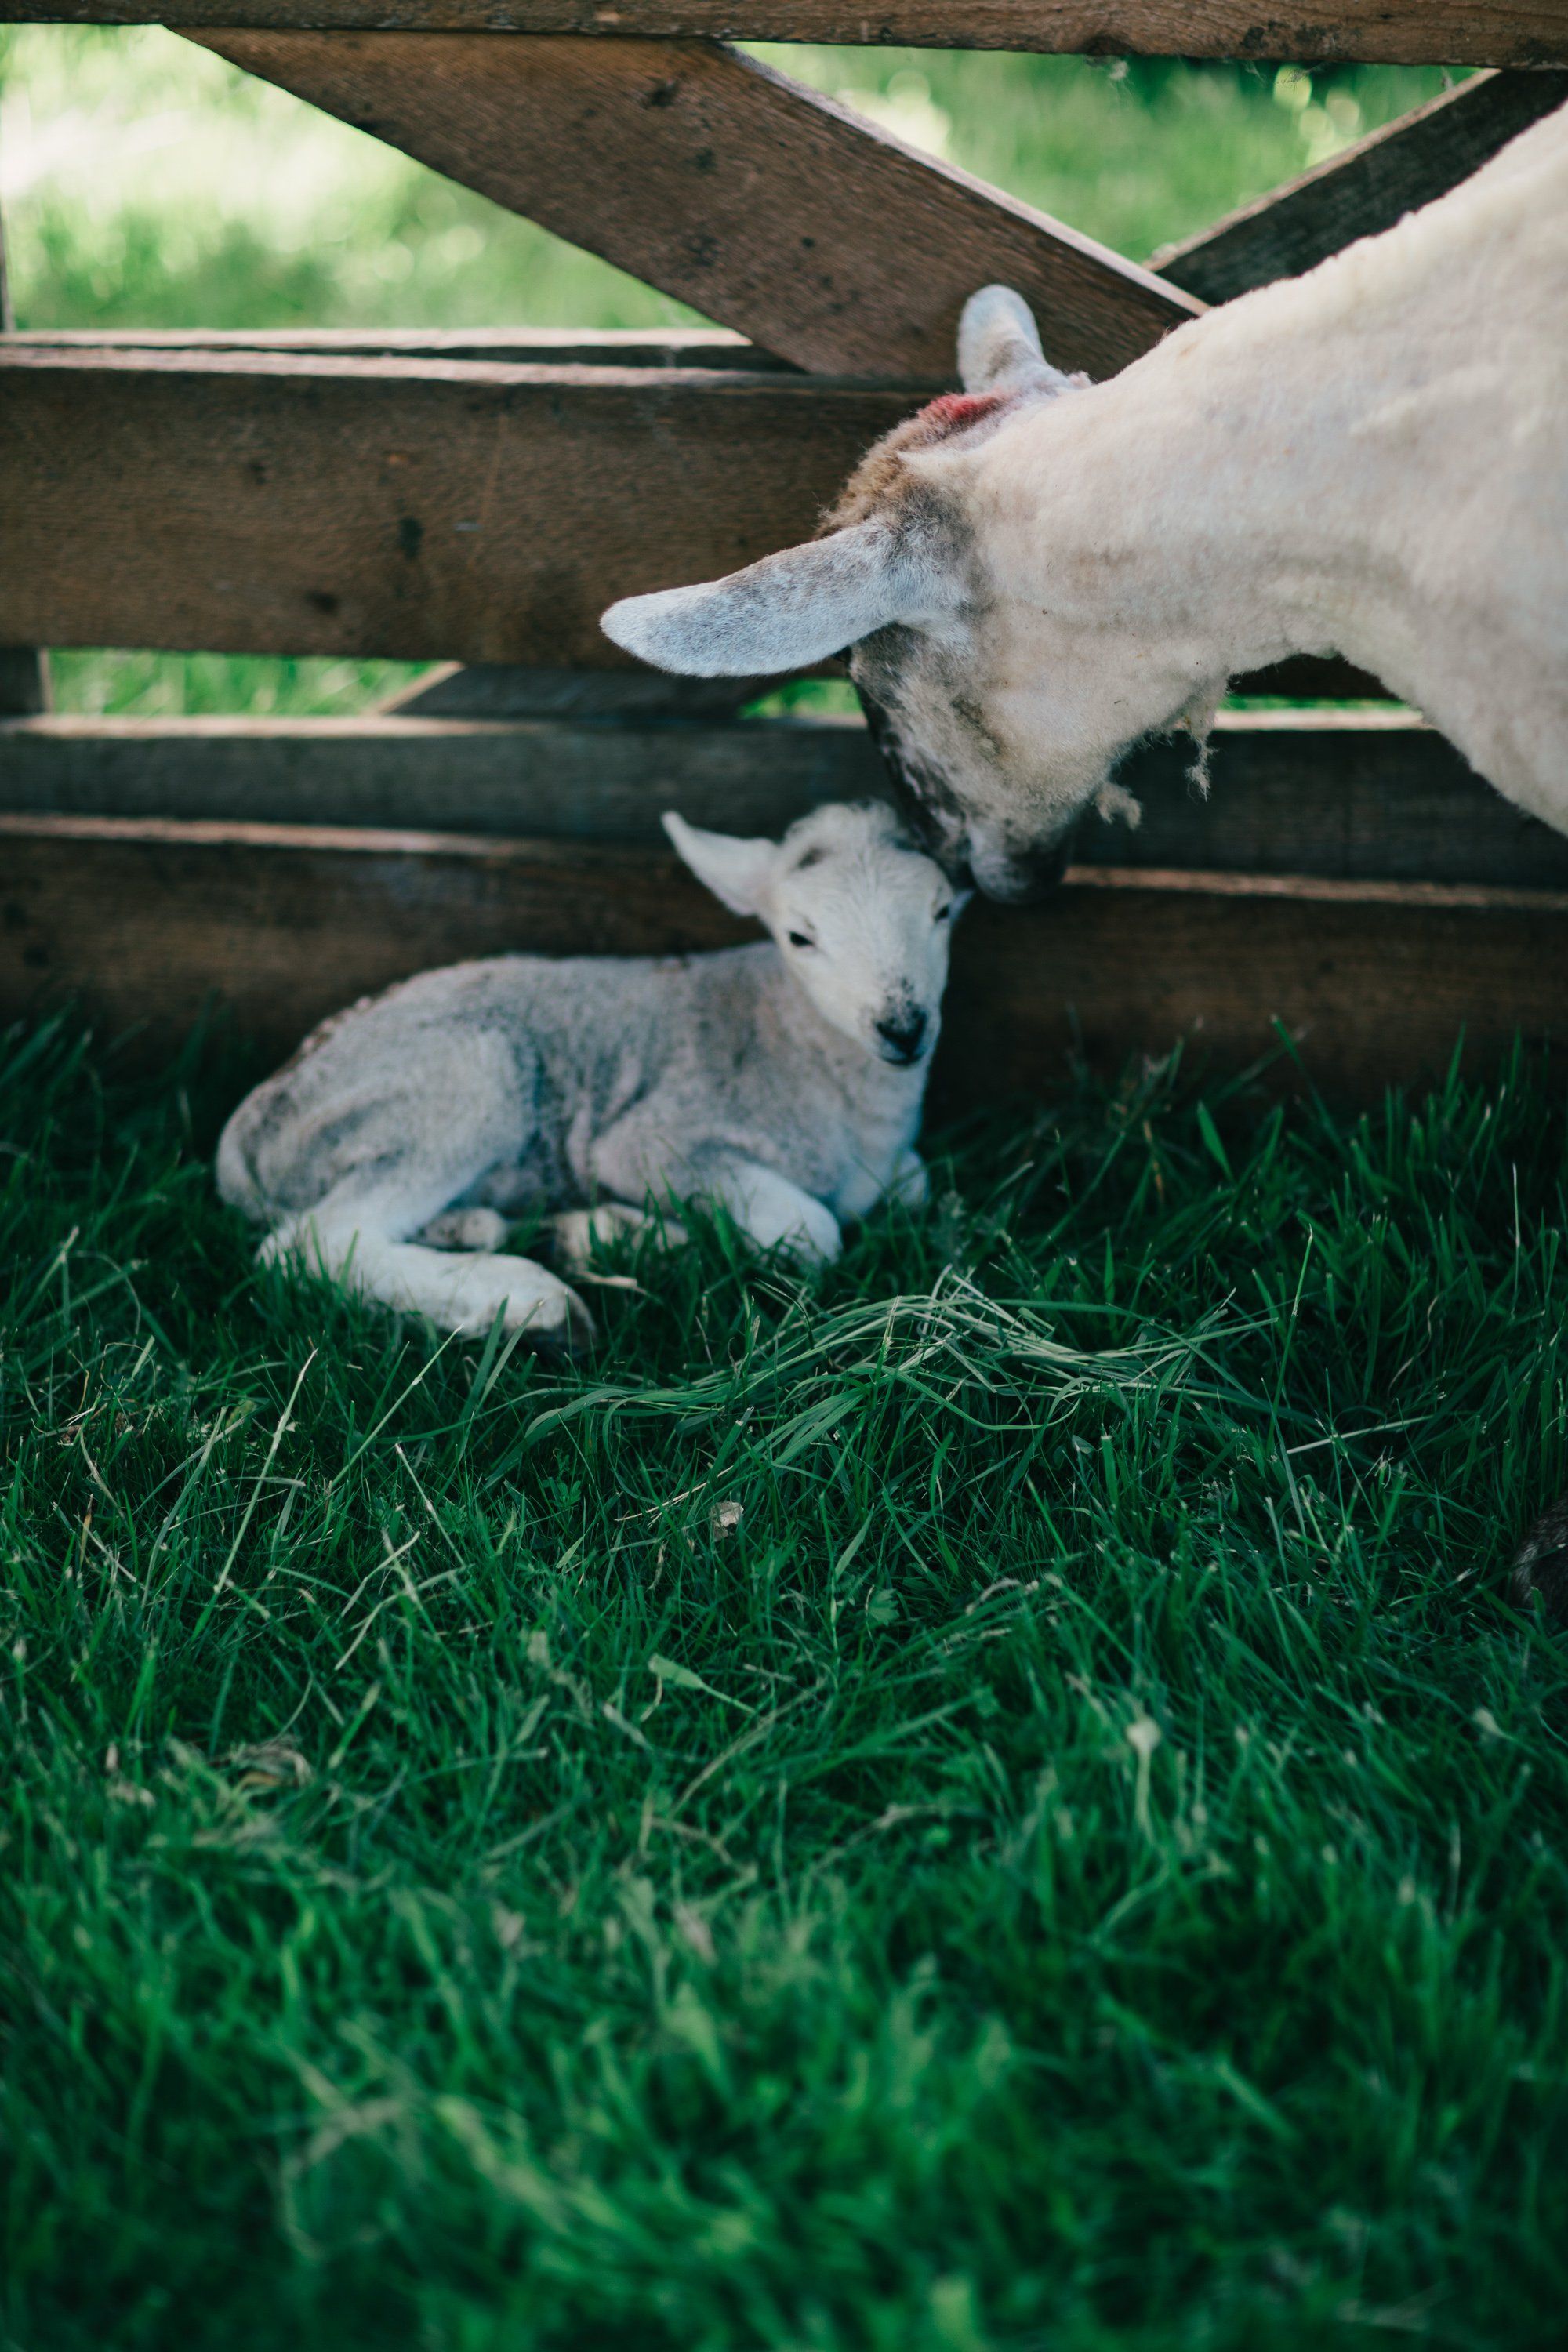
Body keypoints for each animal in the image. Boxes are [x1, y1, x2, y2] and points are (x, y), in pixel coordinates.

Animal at [216, 802, 958, 1346]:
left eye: (942, 911)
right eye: (800, 937)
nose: (903, 1026)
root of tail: (242, 1144)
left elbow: (916, 1183)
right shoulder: (653, 1140)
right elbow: (812, 1231)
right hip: (460, 1086)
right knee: (307, 1244)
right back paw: (528, 1301)